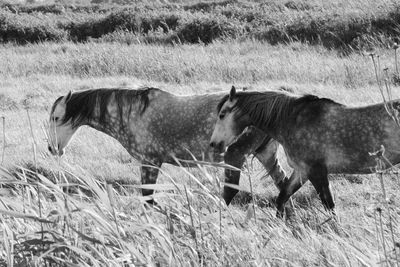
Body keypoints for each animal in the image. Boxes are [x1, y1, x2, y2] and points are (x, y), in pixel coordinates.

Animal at [48, 88, 288, 205]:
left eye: (57, 117)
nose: (52, 149)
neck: (133, 113)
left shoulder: (150, 162)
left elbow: (147, 198)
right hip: (266, 153)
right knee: (284, 185)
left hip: (235, 156)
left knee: (230, 192)